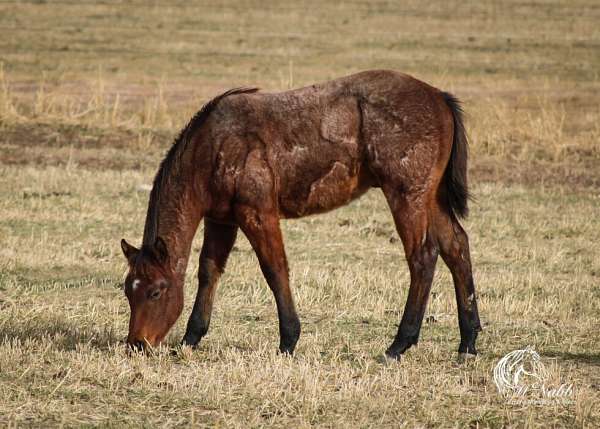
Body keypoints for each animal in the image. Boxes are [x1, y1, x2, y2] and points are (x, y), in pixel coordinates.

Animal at [120, 69, 482, 358]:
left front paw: (288, 339)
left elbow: (275, 270)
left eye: (155, 291)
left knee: (423, 257)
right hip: (431, 199)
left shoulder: (258, 215)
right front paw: (192, 338)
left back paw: (400, 343)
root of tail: (438, 96)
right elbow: (209, 271)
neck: (213, 145)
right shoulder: (221, 220)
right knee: (456, 247)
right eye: (127, 290)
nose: (137, 343)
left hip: (407, 197)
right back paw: (468, 341)